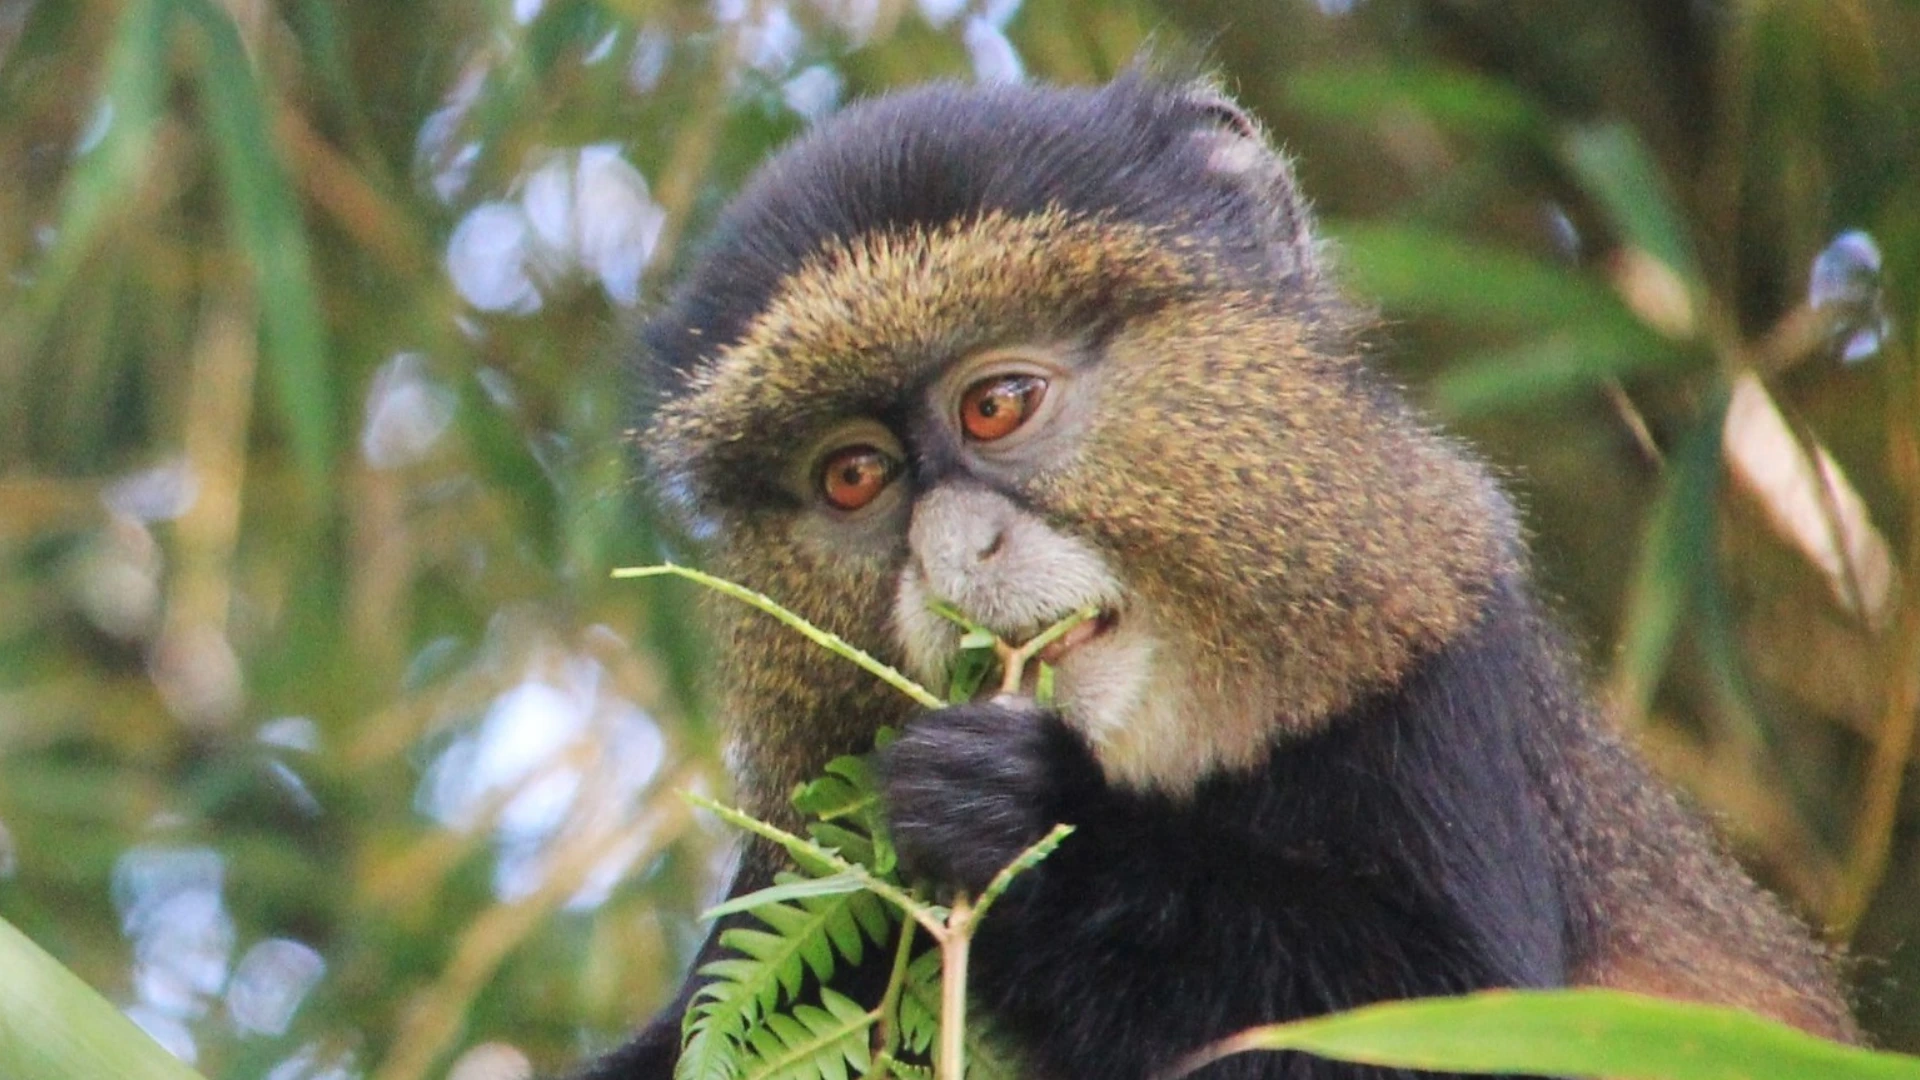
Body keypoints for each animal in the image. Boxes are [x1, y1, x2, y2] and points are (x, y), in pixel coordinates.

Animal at [582, 73, 1855, 1080]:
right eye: (854, 476)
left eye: (998, 404)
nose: (953, 556)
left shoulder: (1438, 664)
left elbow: (1449, 1024)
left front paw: (1027, 811)